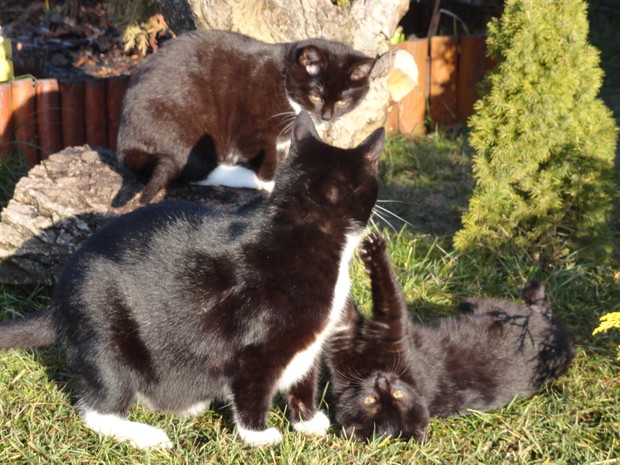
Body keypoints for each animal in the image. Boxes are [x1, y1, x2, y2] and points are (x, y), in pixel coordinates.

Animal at [0, 112, 385, 449]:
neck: (303, 238)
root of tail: (59, 297)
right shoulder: (256, 348)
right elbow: (253, 389)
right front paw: (258, 435)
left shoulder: (310, 342)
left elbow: (305, 377)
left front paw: (307, 421)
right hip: (105, 330)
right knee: (98, 407)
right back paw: (146, 435)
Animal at [116, 29, 376, 204]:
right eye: (316, 96)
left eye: (342, 101)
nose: (326, 116)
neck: (283, 78)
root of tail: (126, 142)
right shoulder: (252, 126)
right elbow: (266, 158)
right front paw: (272, 182)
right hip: (186, 125)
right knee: (193, 169)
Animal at [327, 232, 574, 442]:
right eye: (370, 400)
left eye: (398, 395)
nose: (383, 381)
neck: (369, 368)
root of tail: (562, 340)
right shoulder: (349, 338)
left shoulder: (391, 329)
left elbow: (386, 295)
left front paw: (372, 250)